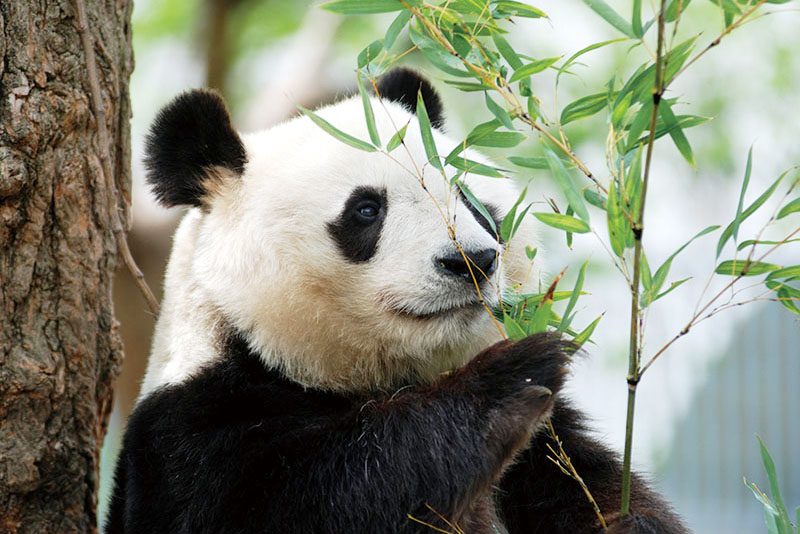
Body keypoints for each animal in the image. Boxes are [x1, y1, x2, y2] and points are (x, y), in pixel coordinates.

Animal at [106, 69, 688, 532]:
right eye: (366, 210)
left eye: (470, 199)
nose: (472, 261)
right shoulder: (194, 435)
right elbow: (333, 495)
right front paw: (511, 377)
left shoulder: (544, 450)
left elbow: (595, 494)